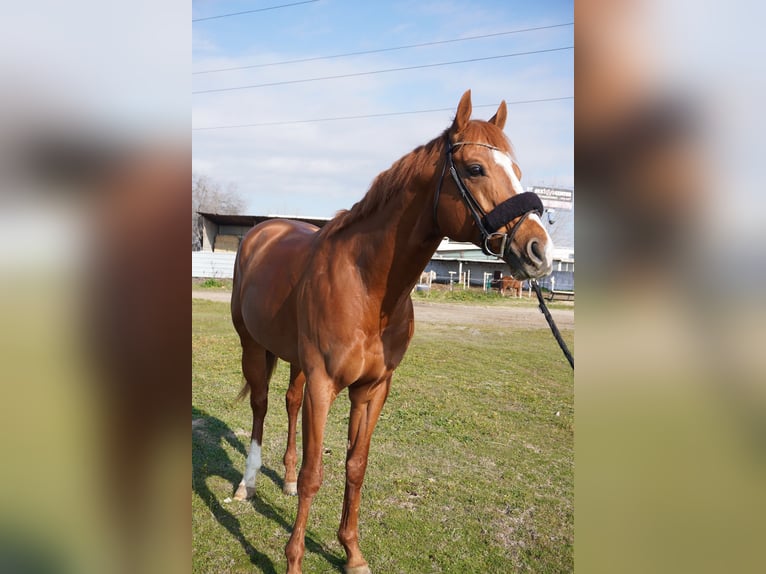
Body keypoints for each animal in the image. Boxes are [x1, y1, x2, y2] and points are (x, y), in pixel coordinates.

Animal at [231, 92, 556, 572]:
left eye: (516, 169)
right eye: (476, 169)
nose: (539, 252)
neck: (366, 286)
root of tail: (263, 230)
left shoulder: (373, 388)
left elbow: (355, 465)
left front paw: (351, 552)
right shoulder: (325, 385)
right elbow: (315, 474)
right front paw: (293, 560)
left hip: (294, 360)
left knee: (289, 403)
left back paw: (283, 479)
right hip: (253, 346)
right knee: (260, 406)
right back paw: (247, 484)